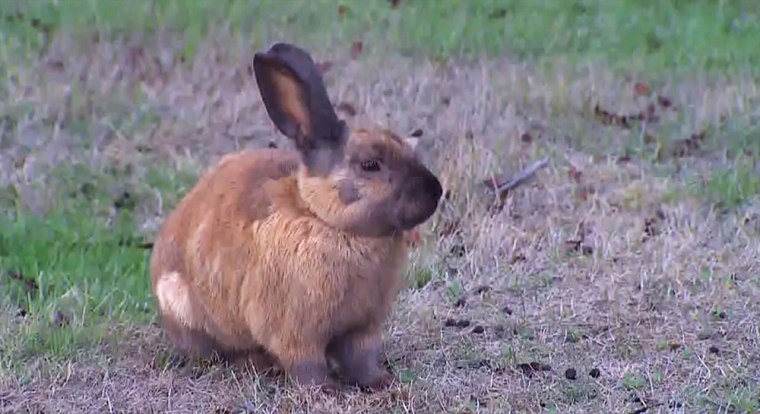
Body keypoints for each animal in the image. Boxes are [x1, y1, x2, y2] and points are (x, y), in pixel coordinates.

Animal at [148, 41, 442, 392]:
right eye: (370, 164)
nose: (435, 191)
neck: (326, 220)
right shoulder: (296, 332)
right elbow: (306, 363)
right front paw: (327, 390)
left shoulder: (364, 327)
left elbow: (362, 359)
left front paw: (379, 381)